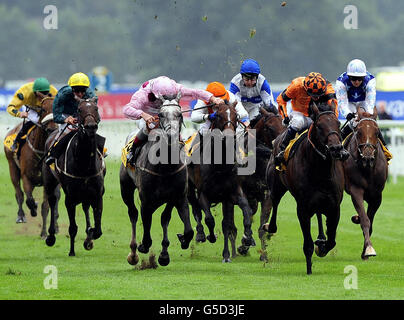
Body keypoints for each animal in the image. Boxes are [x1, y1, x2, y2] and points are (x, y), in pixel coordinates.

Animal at [3, 93, 58, 238]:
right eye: (43, 109)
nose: (52, 129)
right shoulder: (26, 177)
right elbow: (29, 199)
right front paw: (33, 209)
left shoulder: (48, 182)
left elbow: (46, 206)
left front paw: (44, 232)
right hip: (12, 167)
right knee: (19, 194)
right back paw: (21, 216)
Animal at [43, 96, 105, 256]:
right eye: (79, 109)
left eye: (96, 108)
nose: (90, 127)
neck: (84, 163)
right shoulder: (70, 198)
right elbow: (72, 228)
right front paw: (72, 251)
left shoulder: (97, 194)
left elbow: (97, 230)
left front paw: (89, 238)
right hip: (50, 182)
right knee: (52, 201)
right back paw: (50, 236)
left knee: (85, 206)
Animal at [120, 95, 194, 268]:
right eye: (160, 114)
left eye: (179, 114)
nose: (172, 135)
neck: (165, 167)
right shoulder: (146, 201)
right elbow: (146, 231)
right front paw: (143, 246)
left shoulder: (178, 197)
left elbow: (184, 228)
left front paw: (169, 251)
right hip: (125, 189)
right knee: (133, 214)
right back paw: (133, 253)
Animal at [188, 100, 254, 262]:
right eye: (218, 115)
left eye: (236, 116)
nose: (229, 136)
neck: (219, 164)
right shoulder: (203, 194)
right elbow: (209, 219)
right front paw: (211, 236)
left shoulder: (231, 194)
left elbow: (242, 213)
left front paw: (246, 238)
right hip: (190, 189)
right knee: (196, 209)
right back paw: (200, 234)